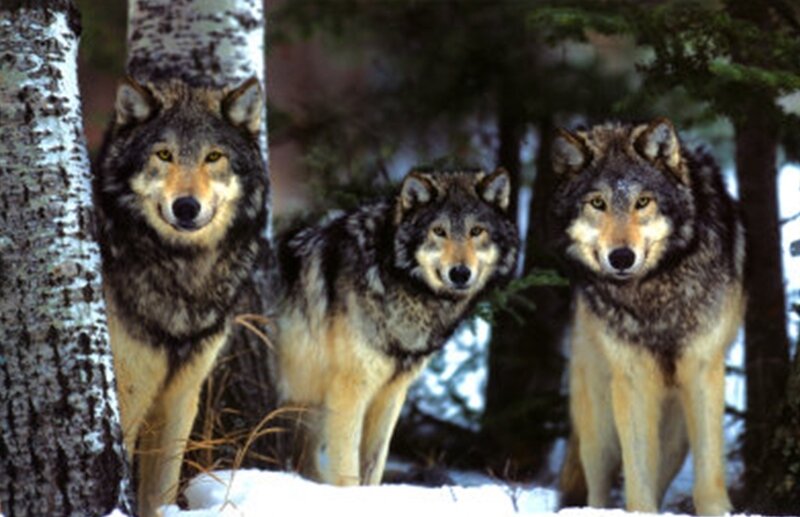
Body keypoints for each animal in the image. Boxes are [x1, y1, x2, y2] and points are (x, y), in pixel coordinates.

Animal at [93, 77, 267, 516]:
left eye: (214, 156)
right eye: (164, 154)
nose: (186, 207)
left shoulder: (180, 397)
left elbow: (161, 491)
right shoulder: (129, 394)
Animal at [270, 169, 518, 486]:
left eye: (476, 231)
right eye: (439, 231)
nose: (460, 273)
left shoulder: (391, 394)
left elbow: (374, 465)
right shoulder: (349, 390)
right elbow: (348, 471)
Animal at [550, 119, 745, 515]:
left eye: (643, 202)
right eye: (598, 203)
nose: (622, 257)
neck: (653, 294)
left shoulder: (703, 371)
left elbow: (708, 475)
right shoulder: (632, 379)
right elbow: (637, 478)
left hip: (675, 435)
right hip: (600, 419)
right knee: (598, 483)